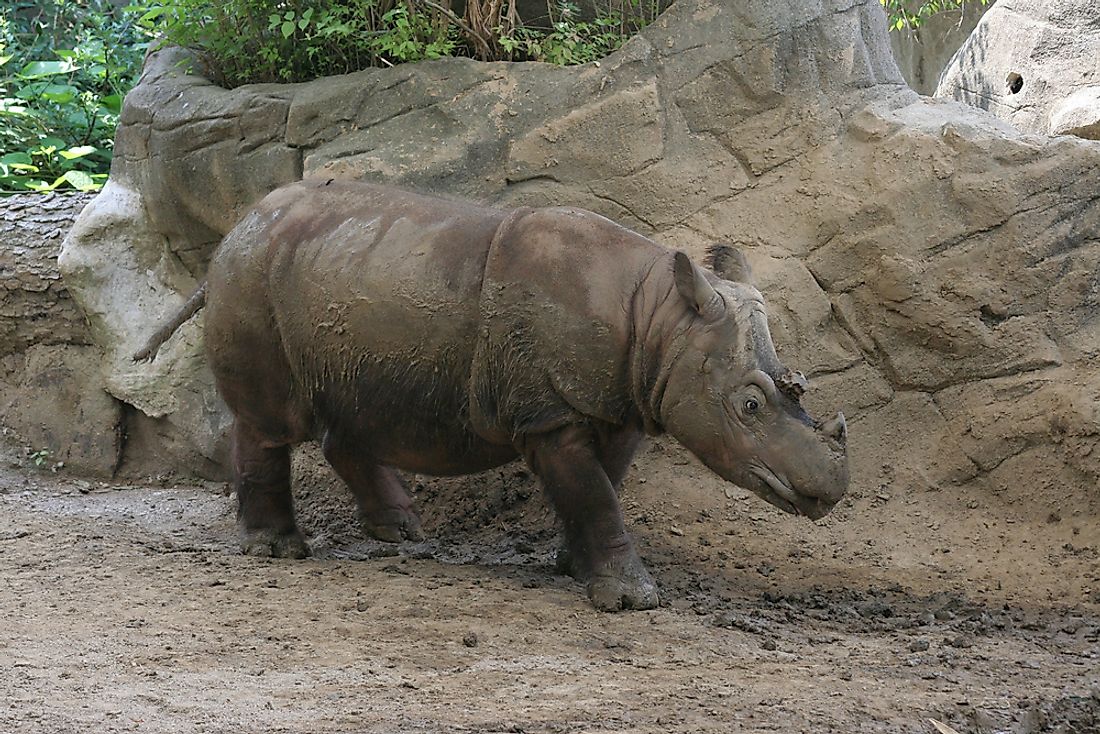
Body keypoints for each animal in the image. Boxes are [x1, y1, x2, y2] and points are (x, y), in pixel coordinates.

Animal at [137, 180, 849, 611]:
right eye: (749, 405)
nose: (832, 490)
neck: (659, 322)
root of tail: (236, 228)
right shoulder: (548, 413)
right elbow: (592, 492)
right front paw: (631, 600)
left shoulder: (617, 400)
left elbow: (602, 487)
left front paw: (575, 567)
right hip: (251, 278)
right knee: (271, 420)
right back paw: (279, 552)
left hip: (339, 271)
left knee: (353, 408)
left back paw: (401, 532)